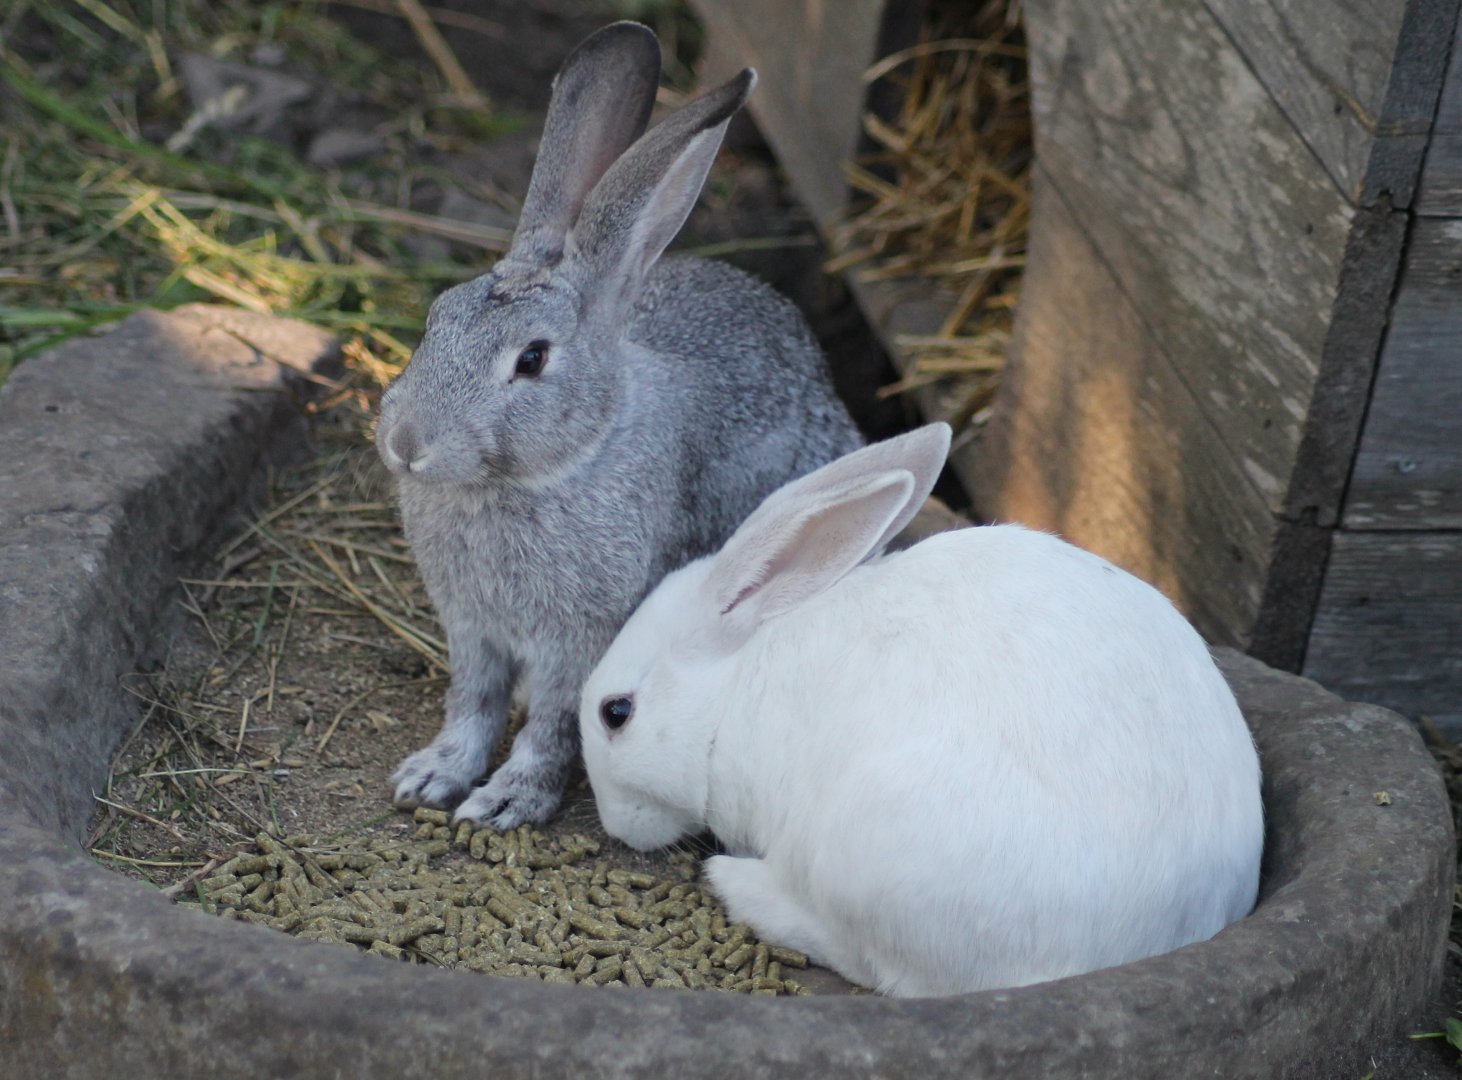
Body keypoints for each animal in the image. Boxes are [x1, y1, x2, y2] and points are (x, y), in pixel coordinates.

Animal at [374, 21, 863, 830]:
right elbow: (471, 705)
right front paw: (432, 775)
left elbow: (549, 723)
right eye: (435, 317)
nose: (406, 445)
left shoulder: (579, 639)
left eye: (532, 359)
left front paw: (507, 801)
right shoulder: (471, 630)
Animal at [579, 423, 1265, 997]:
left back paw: (733, 882)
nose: (614, 827)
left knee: (876, 966)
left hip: (863, 850)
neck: (733, 688)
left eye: (617, 712)